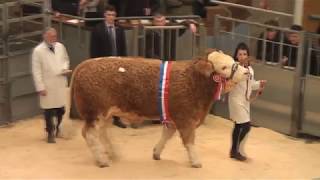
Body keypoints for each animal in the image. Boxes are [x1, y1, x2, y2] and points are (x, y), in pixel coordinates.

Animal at [71, 51, 249, 168]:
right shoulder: (186, 118)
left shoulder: (173, 117)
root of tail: (84, 64)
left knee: (101, 133)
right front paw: (196, 161)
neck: (193, 80)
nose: (247, 72)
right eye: (224, 67)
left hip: (104, 113)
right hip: (95, 112)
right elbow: (189, 141)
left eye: (233, 61)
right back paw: (102, 160)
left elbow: (166, 135)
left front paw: (156, 152)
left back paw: (111, 153)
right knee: (90, 134)